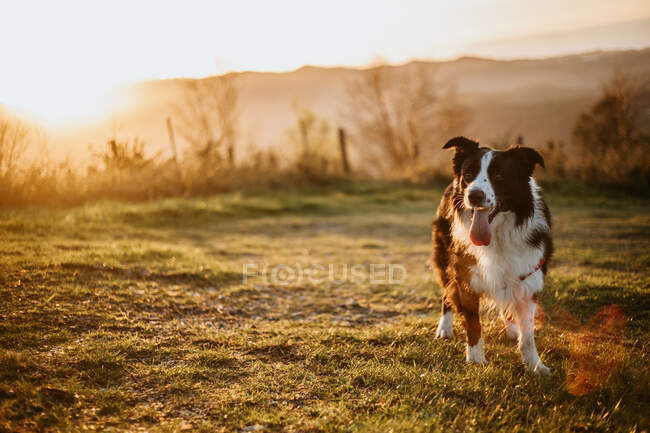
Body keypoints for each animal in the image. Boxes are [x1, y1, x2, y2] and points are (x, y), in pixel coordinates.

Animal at [430, 137, 552, 372]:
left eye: (499, 176)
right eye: (468, 175)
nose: (474, 195)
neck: (497, 235)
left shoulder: (528, 275)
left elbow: (528, 334)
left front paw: (535, 365)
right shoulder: (466, 276)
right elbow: (473, 323)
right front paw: (476, 358)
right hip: (444, 257)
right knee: (447, 292)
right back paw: (445, 328)